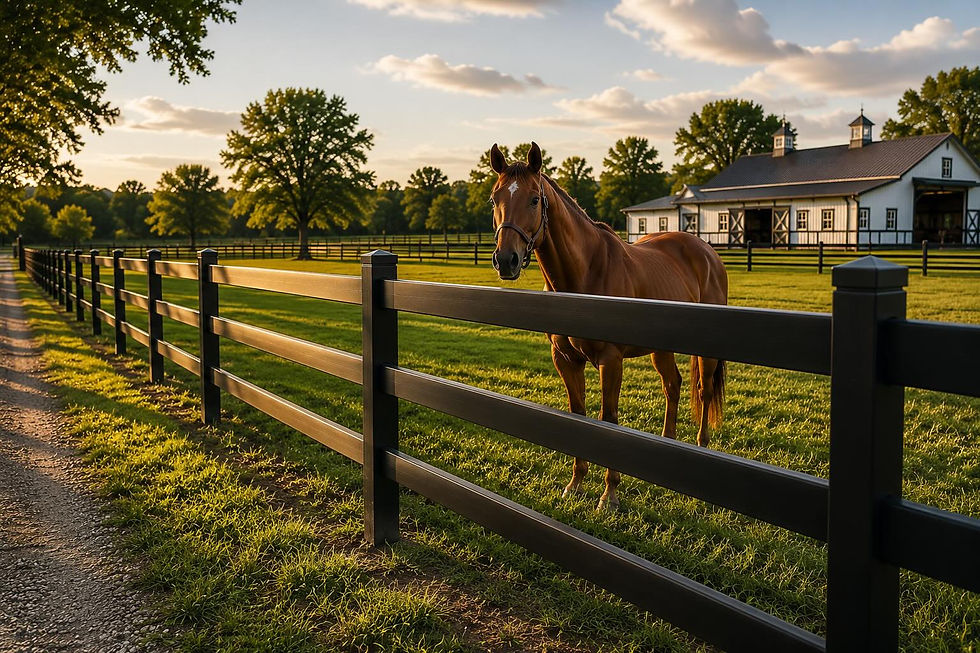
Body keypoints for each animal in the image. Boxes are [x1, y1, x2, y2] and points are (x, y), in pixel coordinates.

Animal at [488, 142, 728, 510]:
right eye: (494, 199)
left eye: (534, 199)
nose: (506, 260)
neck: (585, 273)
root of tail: (707, 252)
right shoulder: (566, 360)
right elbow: (579, 414)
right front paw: (575, 484)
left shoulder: (610, 361)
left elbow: (608, 419)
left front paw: (610, 494)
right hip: (661, 349)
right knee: (672, 385)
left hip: (705, 351)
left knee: (704, 391)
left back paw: (701, 445)